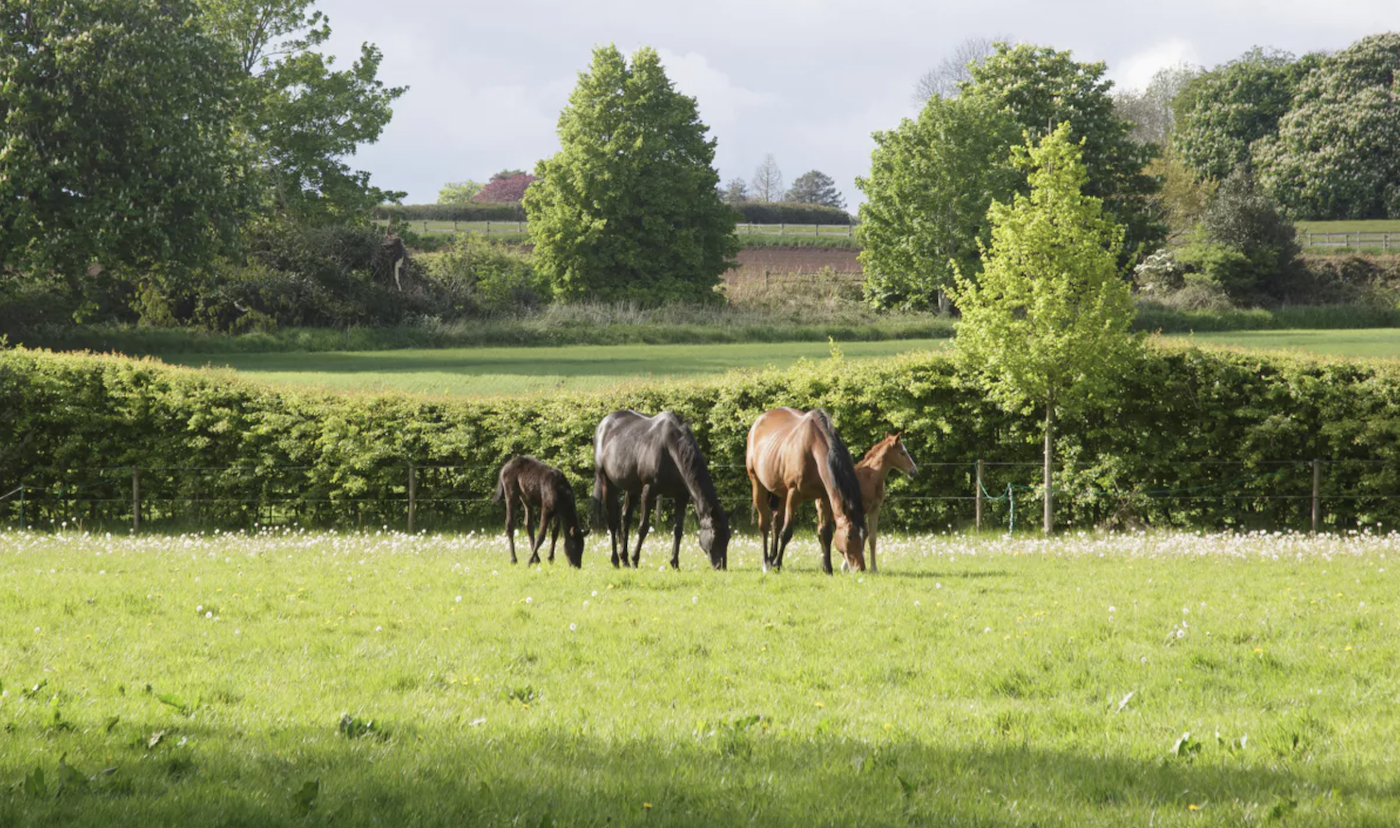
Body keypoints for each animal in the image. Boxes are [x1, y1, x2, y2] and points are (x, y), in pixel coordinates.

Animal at [591, 410, 731, 570]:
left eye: (728, 537)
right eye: (716, 535)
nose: (721, 566)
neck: (670, 448)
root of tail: (603, 424)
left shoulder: (681, 496)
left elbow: (678, 529)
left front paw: (675, 562)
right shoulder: (649, 491)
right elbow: (643, 527)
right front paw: (635, 560)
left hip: (632, 489)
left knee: (625, 518)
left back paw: (624, 559)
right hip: (607, 483)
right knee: (613, 522)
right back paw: (615, 560)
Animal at [745, 407, 867, 574]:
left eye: (865, 535)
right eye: (850, 536)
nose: (860, 568)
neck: (813, 448)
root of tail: (758, 422)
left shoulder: (824, 497)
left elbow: (825, 533)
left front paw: (827, 568)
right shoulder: (794, 494)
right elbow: (786, 532)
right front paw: (777, 564)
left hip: (780, 493)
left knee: (775, 524)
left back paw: (771, 558)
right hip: (758, 485)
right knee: (764, 524)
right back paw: (767, 563)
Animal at [850, 432, 917, 573]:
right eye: (902, 452)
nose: (914, 471)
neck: (869, 477)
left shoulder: (874, 509)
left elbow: (872, 538)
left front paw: (873, 568)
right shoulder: (859, 509)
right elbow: (859, 535)